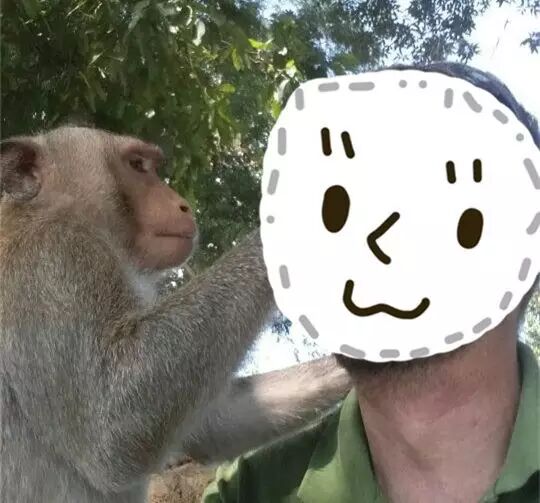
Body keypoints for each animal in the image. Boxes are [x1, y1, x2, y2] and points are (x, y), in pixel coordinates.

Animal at [0, 126, 351, 503]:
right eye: (137, 166)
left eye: (151, 166)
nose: (182, 203)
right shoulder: (53, 264)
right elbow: (110, 426)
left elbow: (212, 421)